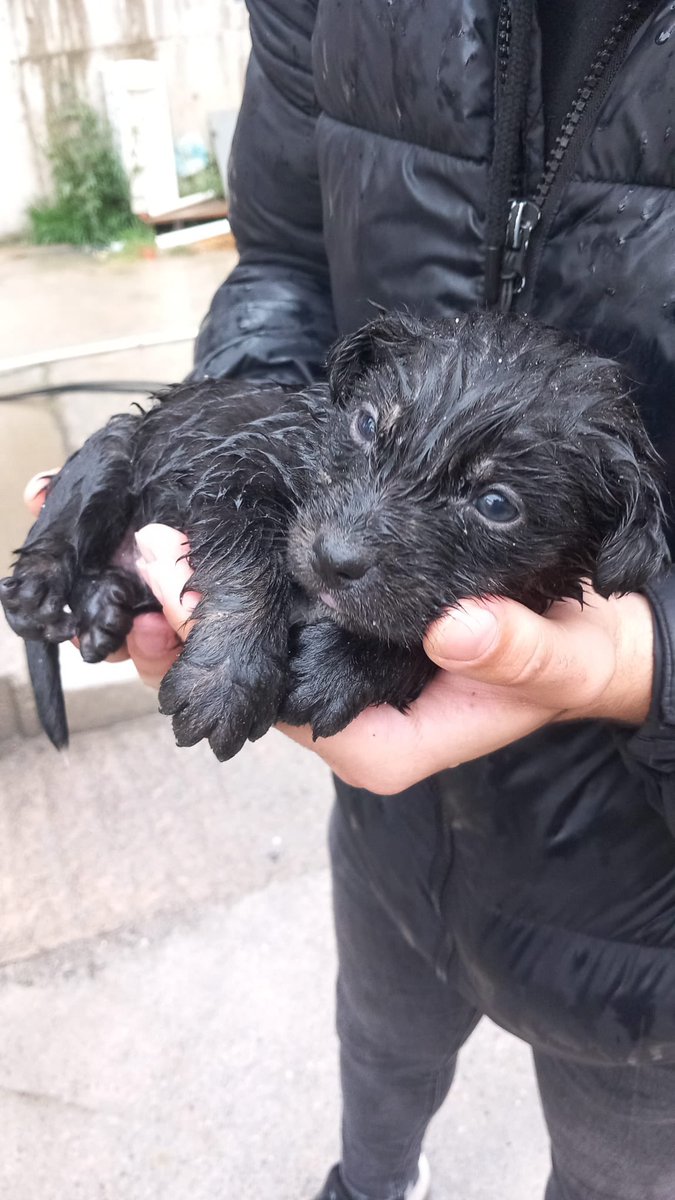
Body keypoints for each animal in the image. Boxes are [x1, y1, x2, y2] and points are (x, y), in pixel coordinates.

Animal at [0, 312, 662, 758]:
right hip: (115, 451)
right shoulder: (235, 466)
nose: (332, 558)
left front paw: (341, 670)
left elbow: (411, 631)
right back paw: (40, 588)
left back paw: (105, 607)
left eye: (496, 505)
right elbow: (247, 558)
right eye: (366, 425)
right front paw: (227, 677)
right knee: (70, 515)